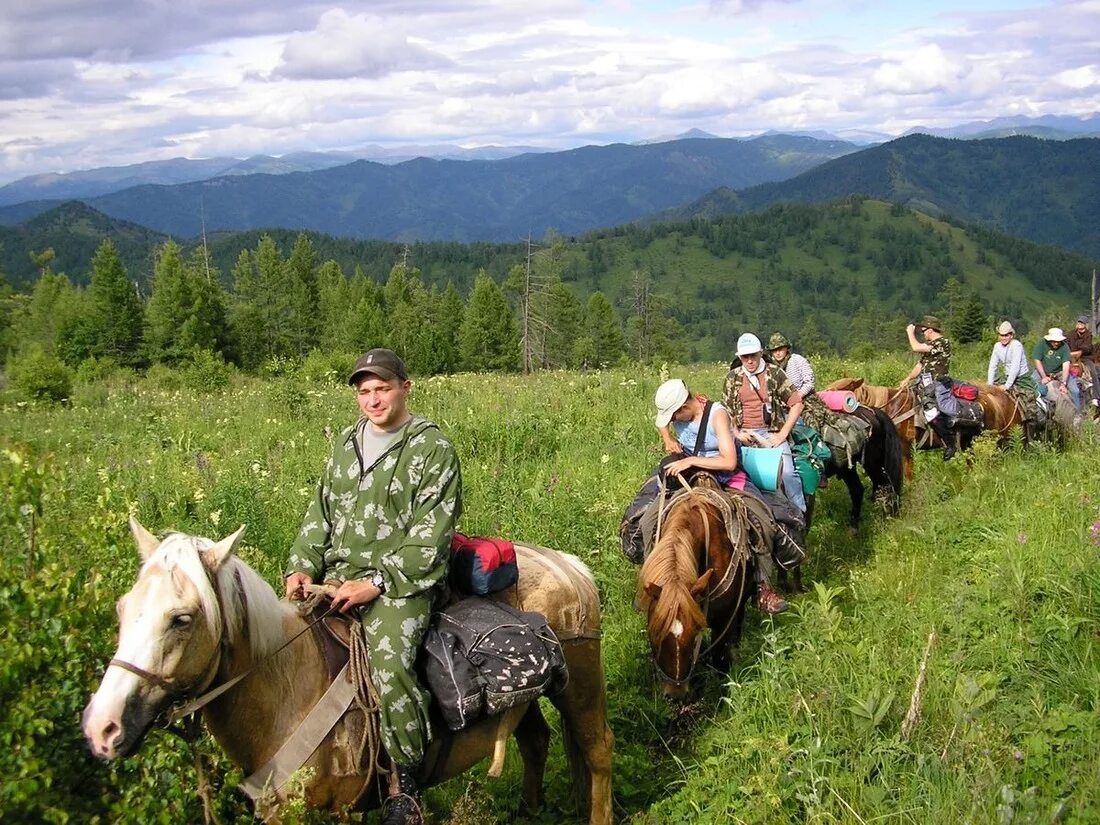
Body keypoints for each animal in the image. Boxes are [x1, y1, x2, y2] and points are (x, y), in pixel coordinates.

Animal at [83, 519, 620, 822]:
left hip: (579, 683)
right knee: (535, 742)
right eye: (122, 608)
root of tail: (568, 564)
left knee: (597, 750)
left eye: (182, 618)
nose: (101, 728)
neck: (289, 690)